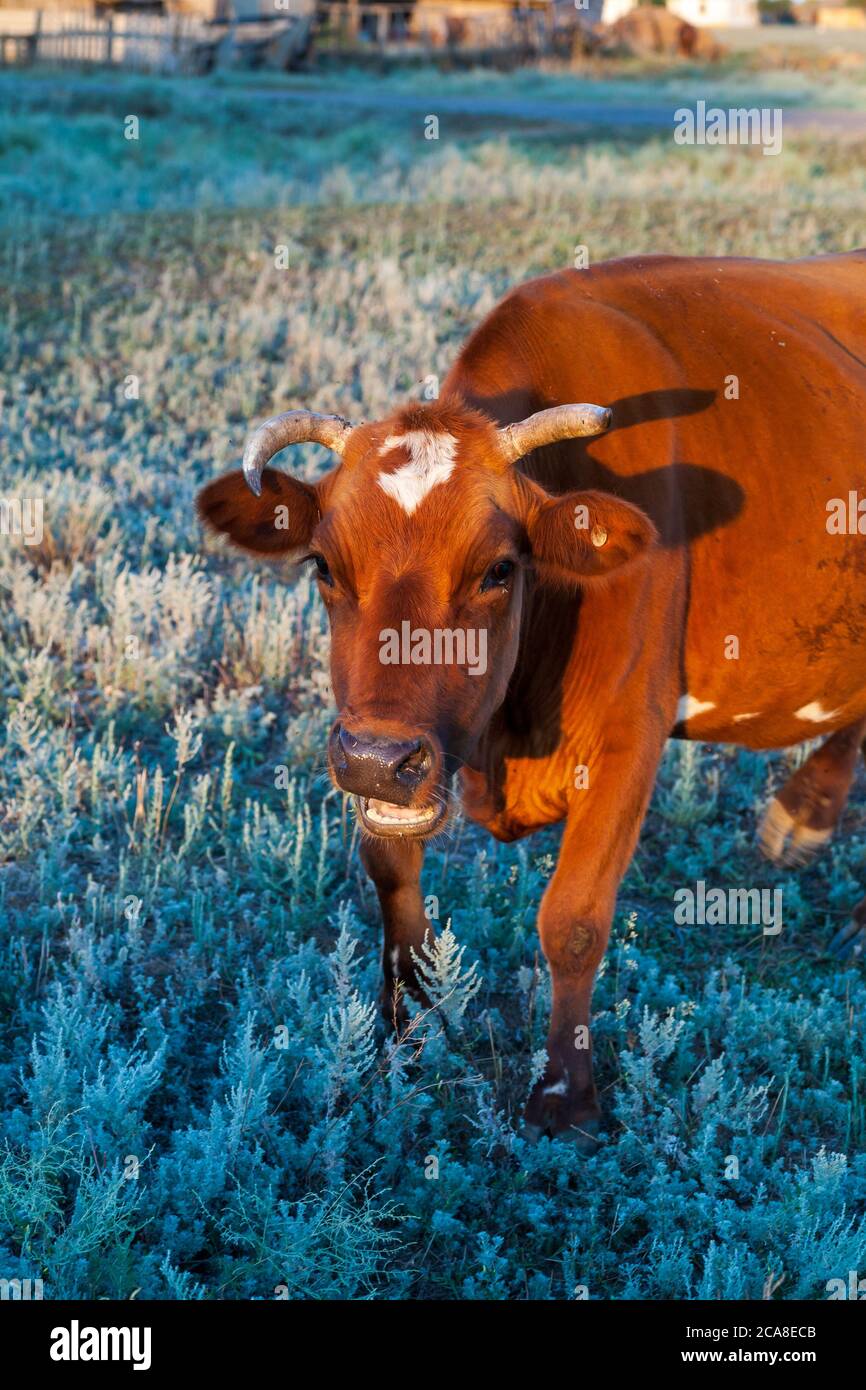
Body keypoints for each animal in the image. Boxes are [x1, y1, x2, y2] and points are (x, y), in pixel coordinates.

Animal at [195, 255, 866, 1145]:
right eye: (323, 568)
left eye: (497, 570)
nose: (376, 758)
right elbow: (390, 872)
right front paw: (403, 1028)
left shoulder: (629, 736)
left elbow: (573, 918)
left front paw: (565, 1095)